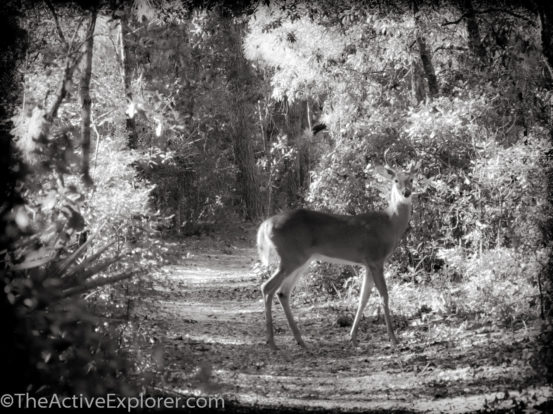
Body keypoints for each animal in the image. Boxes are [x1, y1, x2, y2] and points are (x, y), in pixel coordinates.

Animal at [256, 161, 416, 350]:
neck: (389, 223)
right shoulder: (376, 259)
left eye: (412, 179)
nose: (407, 192)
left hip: (300, 260)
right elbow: (384, 295)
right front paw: (393, 338)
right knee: (267, 287)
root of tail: (266, 224)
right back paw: (272, 342)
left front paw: (353, 337)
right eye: (396, 180)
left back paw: (300, 340)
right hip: (290, 257)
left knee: (282, 292)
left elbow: (363, 298)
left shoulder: (368, 263)